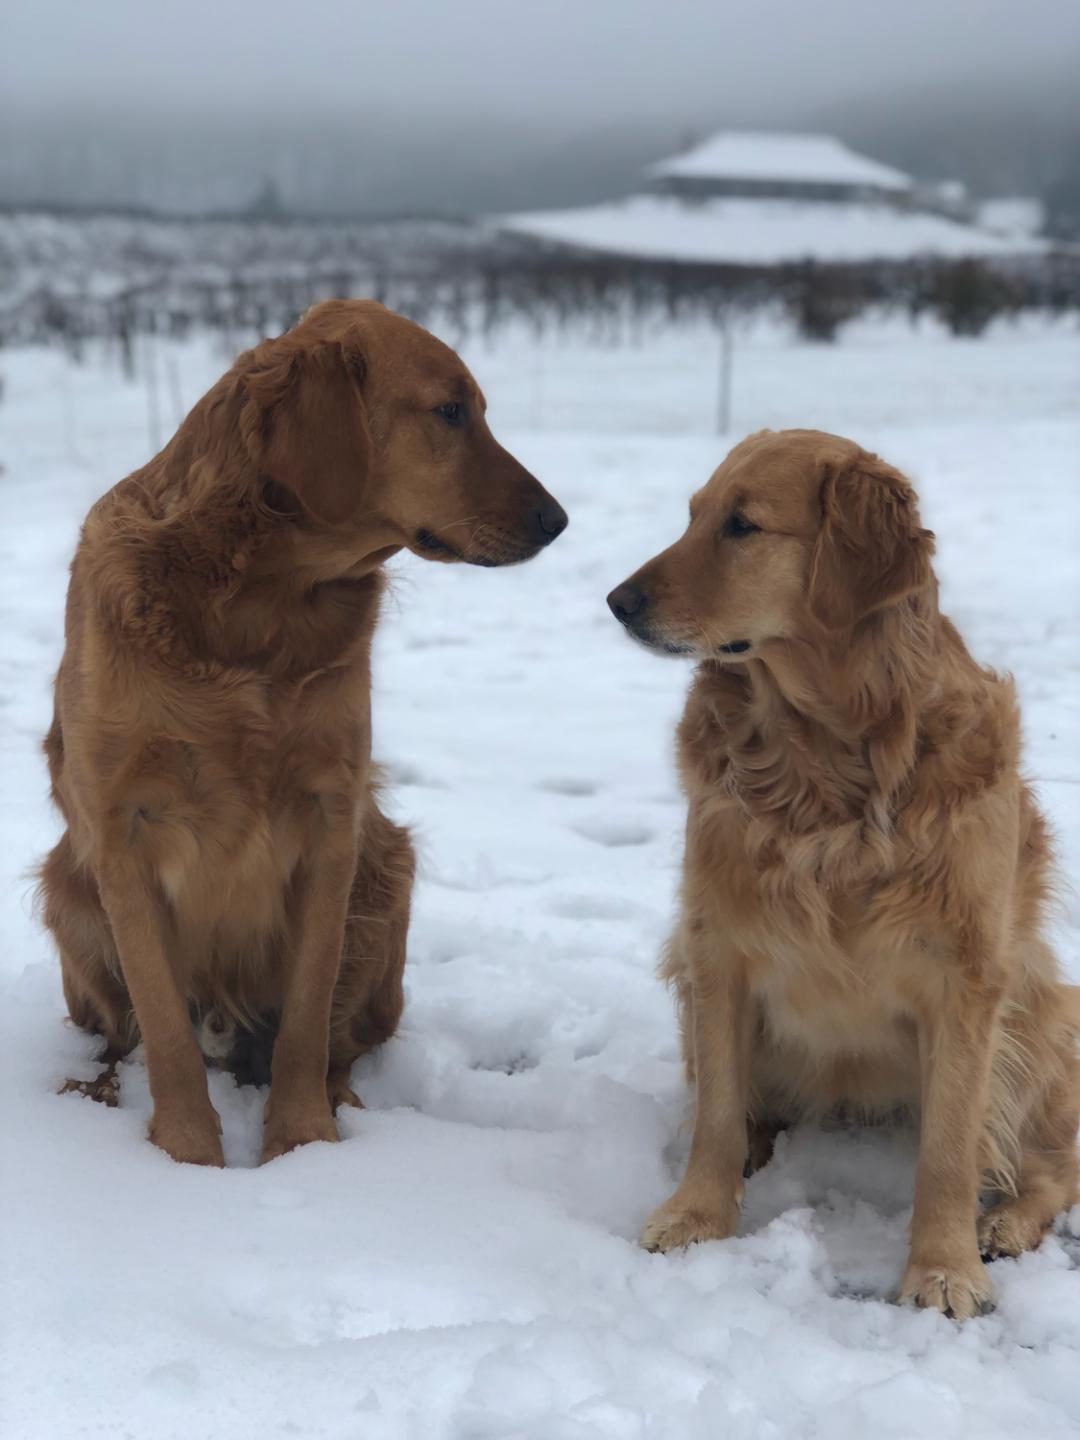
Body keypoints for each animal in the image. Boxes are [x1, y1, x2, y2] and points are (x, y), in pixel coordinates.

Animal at [39, 298, 570, 1163]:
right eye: (450, 412)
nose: (557, 521)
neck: (256, 613)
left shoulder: (332, 821)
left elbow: (306, 1020)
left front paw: (302, 1145)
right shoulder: (122, 836)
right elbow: (165, 1029)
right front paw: (187, 1155)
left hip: (386, 870)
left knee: (343, 1041)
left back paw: (341, 1099)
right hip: (68, 889)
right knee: (119, 1039)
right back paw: (95, 1088)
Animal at [610, 426, 1080, 1319]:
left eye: (743, 525)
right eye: (693, 515)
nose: (618, 602)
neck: (824, 768)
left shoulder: (968, 977)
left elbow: (950, 1148)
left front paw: (943, 1268)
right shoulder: (714, 950)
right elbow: (715, 1113)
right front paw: (697, 1213)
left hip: (1040, 1013)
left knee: (1054, 1169)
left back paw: (1002, 1224)